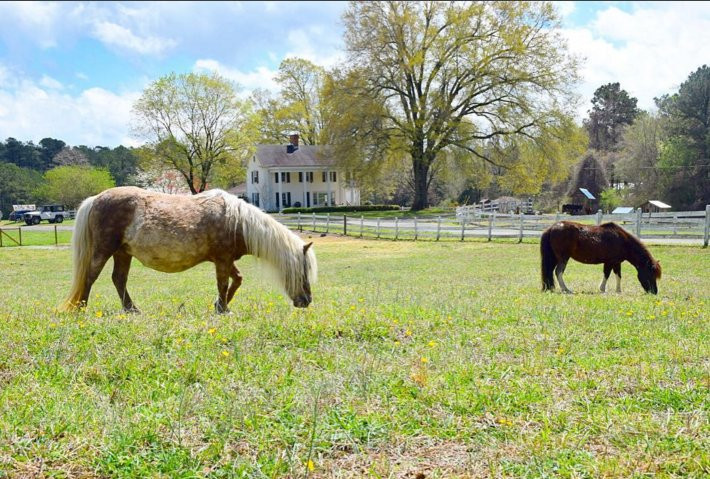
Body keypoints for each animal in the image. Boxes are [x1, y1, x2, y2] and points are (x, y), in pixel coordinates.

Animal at [61, 188, 318, 316]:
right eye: (302, 271)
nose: (306, 301)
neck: (237, 222)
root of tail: (96, 199)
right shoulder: (222, 260)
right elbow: (224, 283)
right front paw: (223, 309)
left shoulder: (225, 260)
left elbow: (237, 280)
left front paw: (220, 305)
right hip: (104, 250)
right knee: (91, 276)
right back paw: (81, 308)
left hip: (123, 253)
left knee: (119, 279)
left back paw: (132, 310)